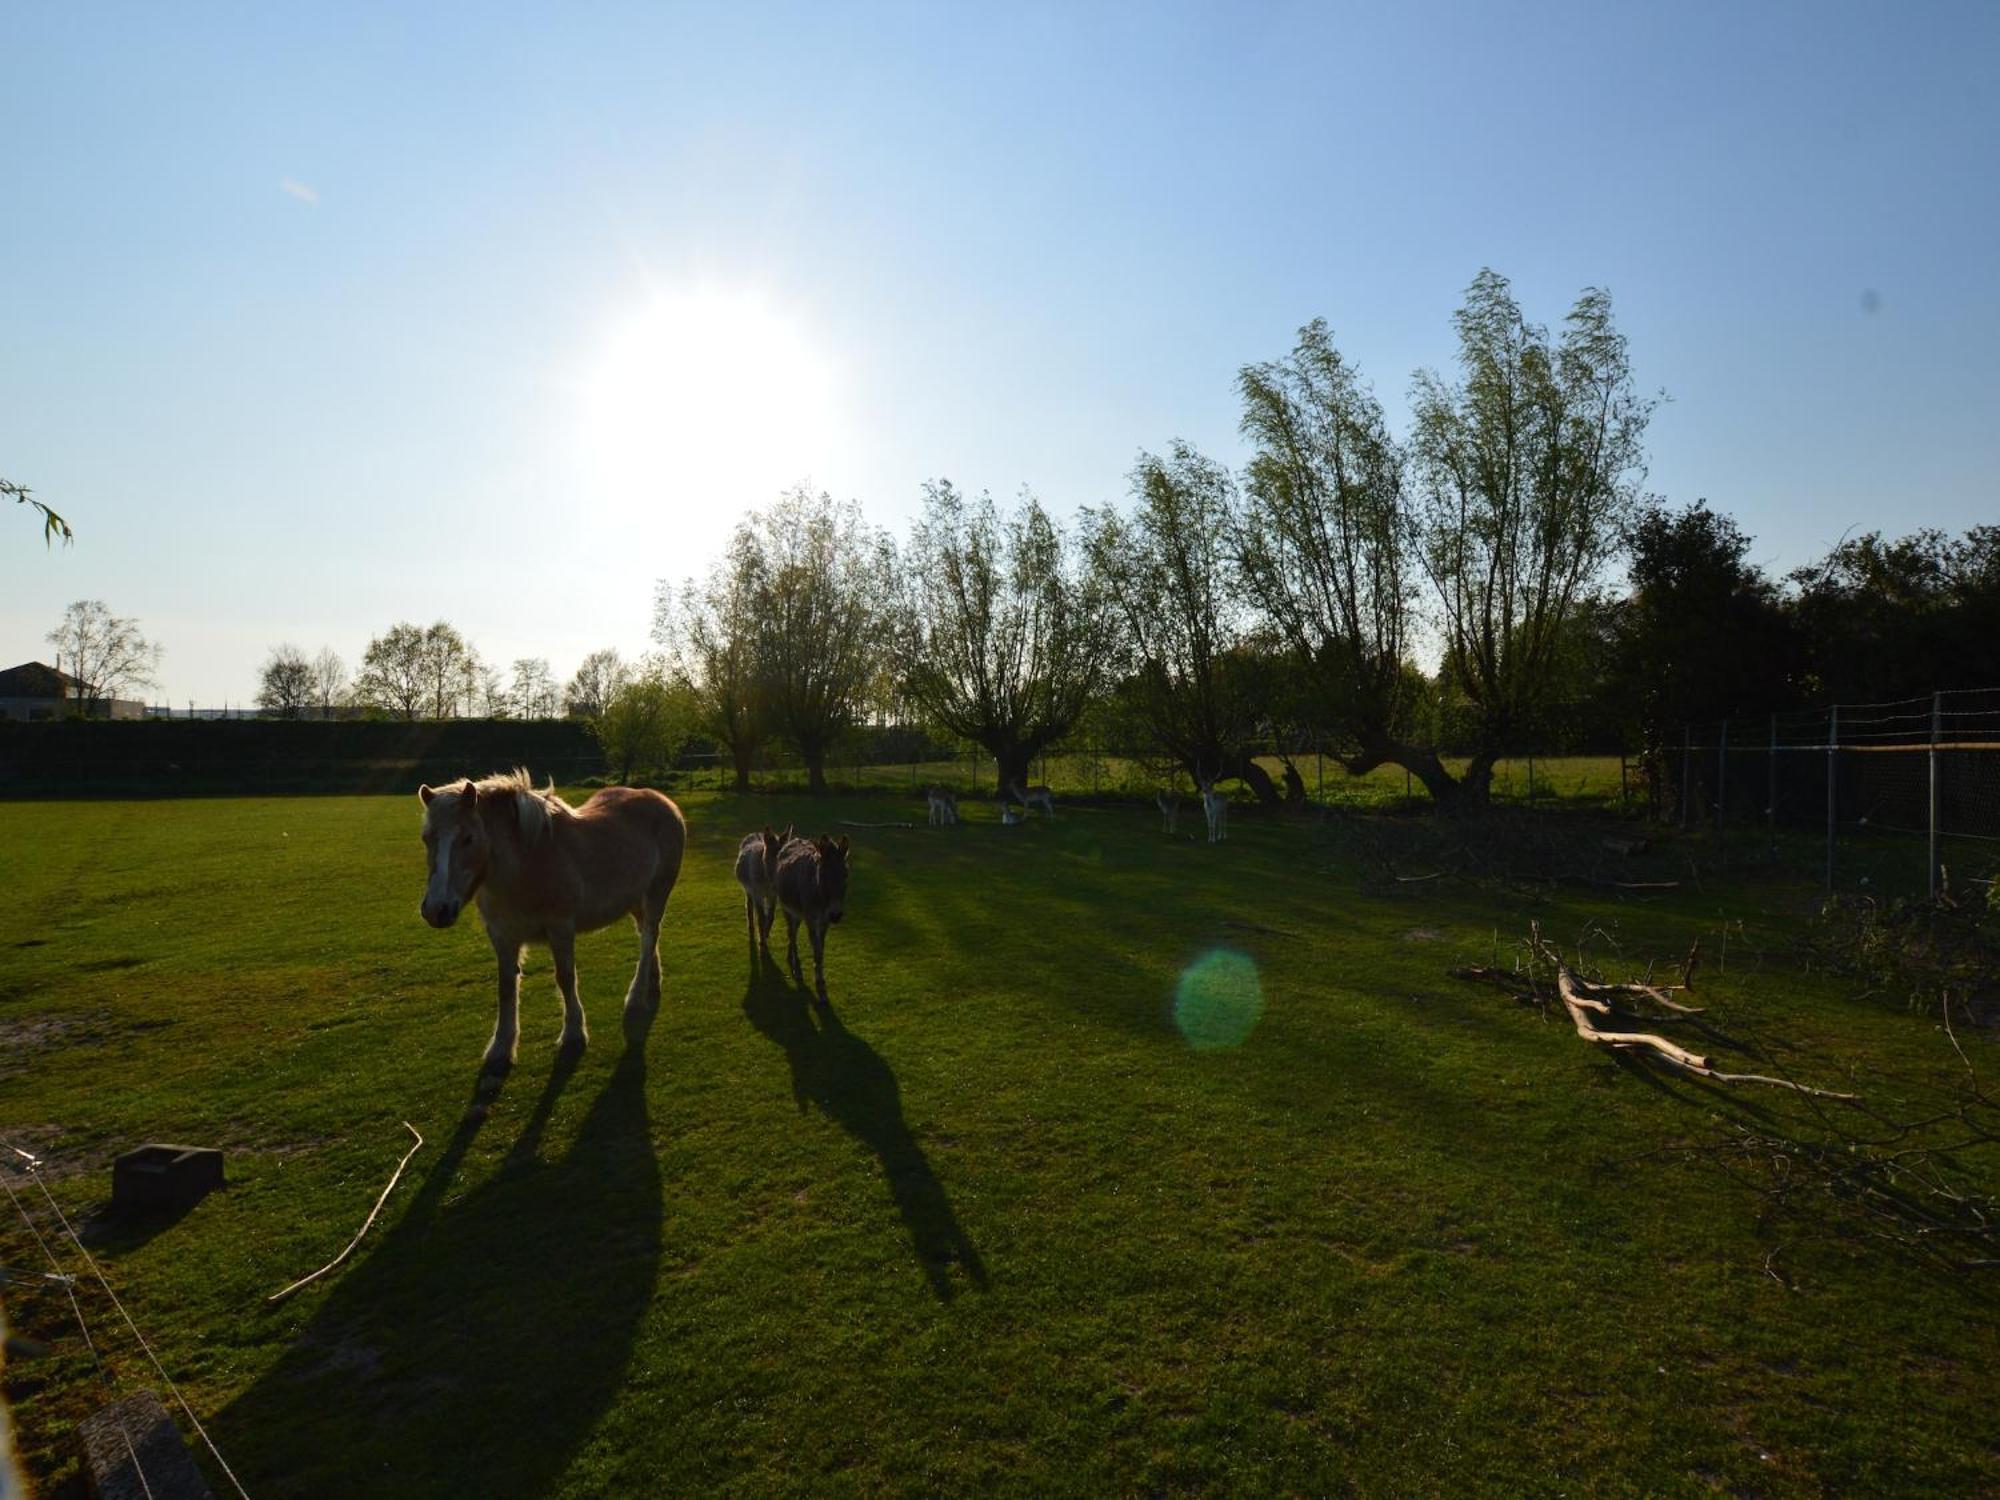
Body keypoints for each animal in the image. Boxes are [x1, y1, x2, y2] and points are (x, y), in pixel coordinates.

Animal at [416, 768, 688, 1072]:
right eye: (427, 838)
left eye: (468, 838)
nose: (436, 909)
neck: (526, 866)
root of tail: (664, 801)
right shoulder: (502, 936)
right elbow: (506, 988)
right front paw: (501, 1047)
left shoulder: (560, 928)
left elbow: (565, 978)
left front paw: (573, 1033)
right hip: (636, 900)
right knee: (647, 937)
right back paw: (653, 981)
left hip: (656, 894)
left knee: (648, 937)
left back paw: (636, 996)